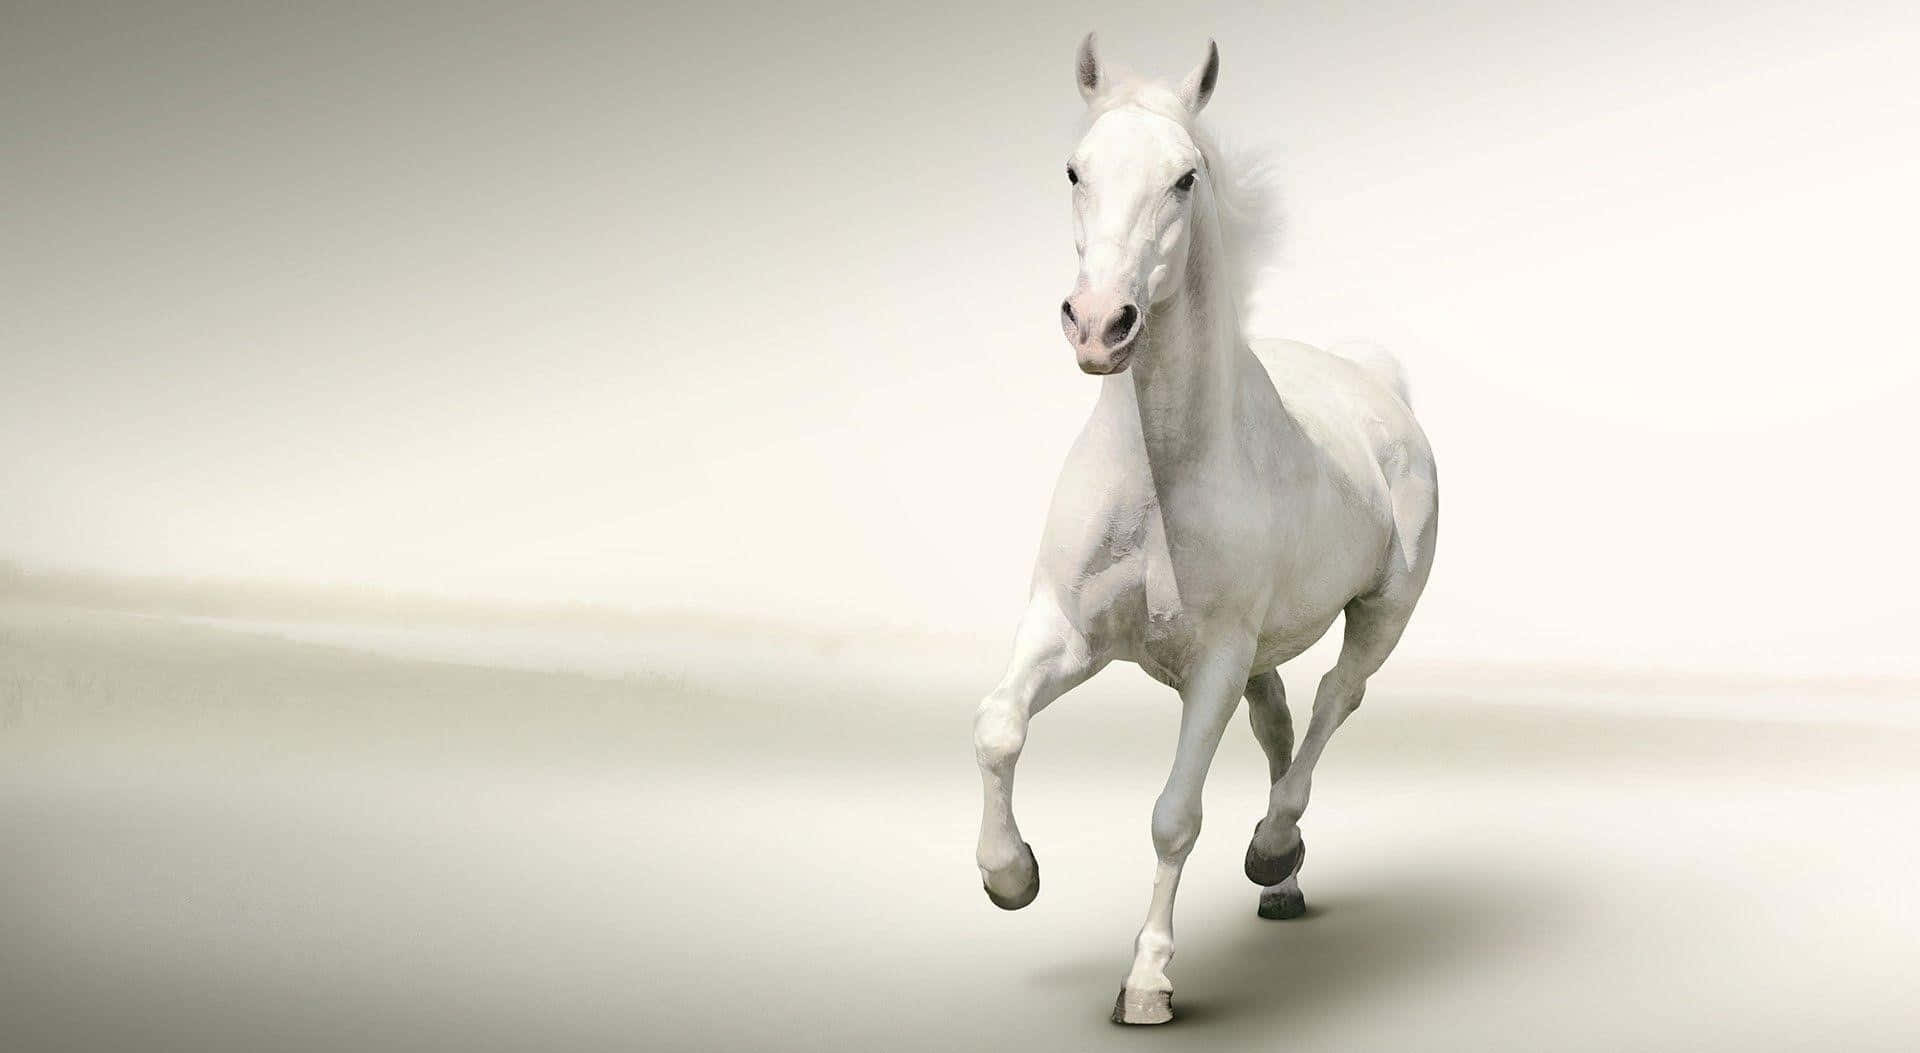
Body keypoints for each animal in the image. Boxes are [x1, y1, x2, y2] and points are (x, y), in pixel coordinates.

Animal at [971, 34, 1440, 1025]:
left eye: (1185, 178)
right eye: (1075, 168)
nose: (1099, 324)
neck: (1160, 476)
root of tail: (1377, 383)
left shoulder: (1215, 661)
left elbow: (1174, 814)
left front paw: (1147, 981)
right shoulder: (1067, 629)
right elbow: (998, 725)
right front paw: (1010, 875)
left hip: (1382, 613)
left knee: (1337, 699)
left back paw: (1273, 847)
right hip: (1265, 651)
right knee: (1281, 720)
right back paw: (1284, 883)